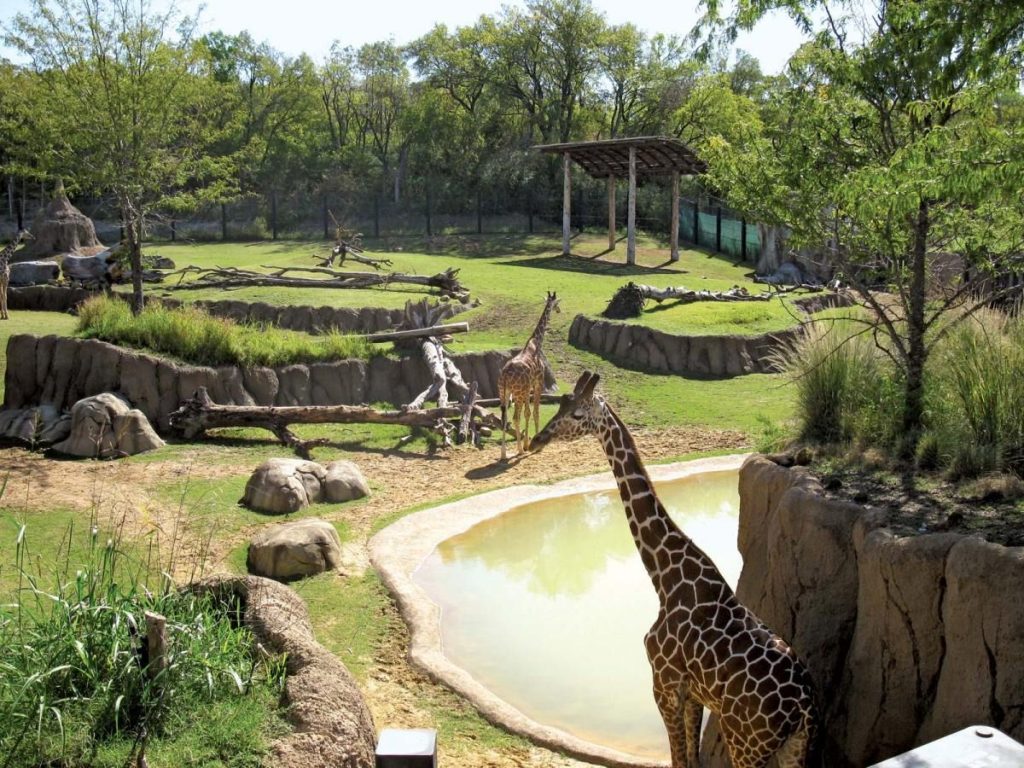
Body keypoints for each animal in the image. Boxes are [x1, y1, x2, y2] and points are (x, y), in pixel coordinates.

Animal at [495, 290, 561, 460]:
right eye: (556, 303)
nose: (559, 310)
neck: (536, 343)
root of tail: (505, 375)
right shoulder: (538, 382)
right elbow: (535, 412)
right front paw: (536, 446)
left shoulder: (527, 387)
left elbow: (528, 413)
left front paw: (527, 444)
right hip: (517, 393)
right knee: (515, 417)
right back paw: (518, 450)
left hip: (504, 392)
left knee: (505, 417)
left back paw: (504, 453)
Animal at [532, 370, 819, 765]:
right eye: (560, 402)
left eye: (577, 414)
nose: (537, 439)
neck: (665, 577)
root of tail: (804, 707)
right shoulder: (694, 694)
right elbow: (691, 759)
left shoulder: (663, 684)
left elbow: (679, 758)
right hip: (795, 745)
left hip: (746, 743)